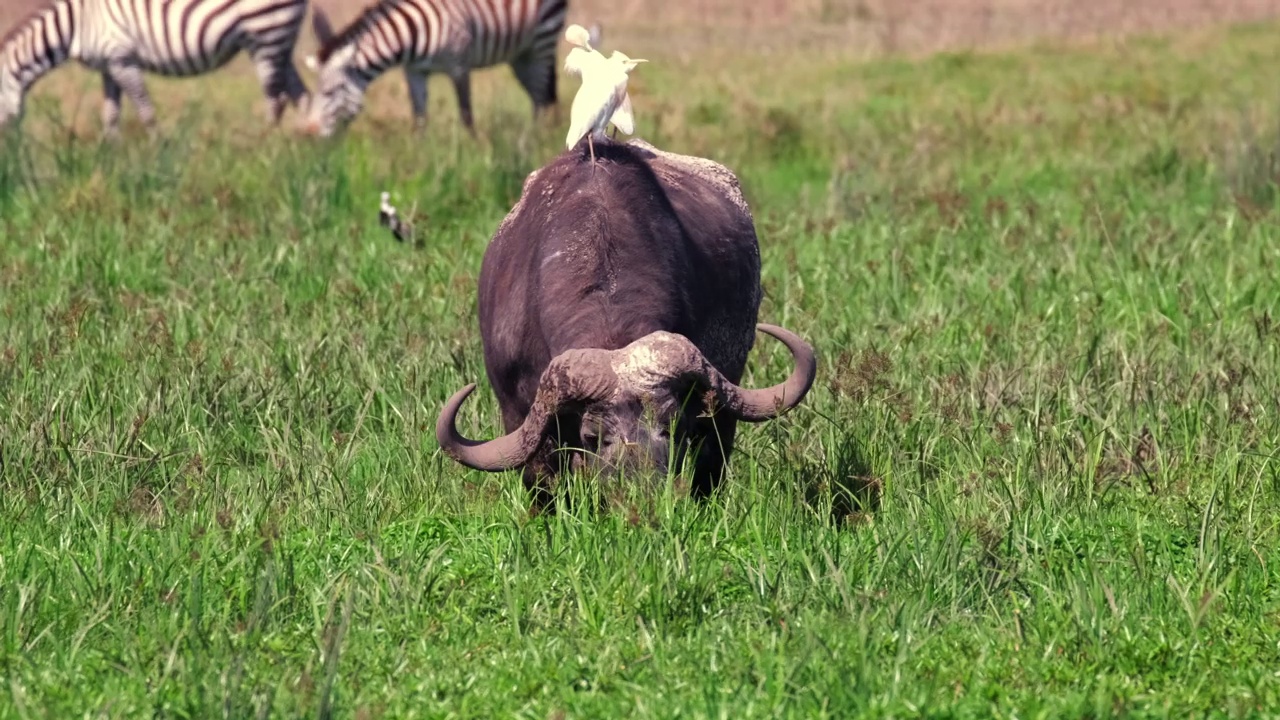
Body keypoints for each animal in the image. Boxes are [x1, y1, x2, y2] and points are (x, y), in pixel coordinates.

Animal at [0, 0, 309, 134]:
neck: (75, 25)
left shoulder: (123, 58)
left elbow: (145, 111)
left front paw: (157, 152)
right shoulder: (109, 65)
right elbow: (110, 114)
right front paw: (108, 155)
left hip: (265, 34)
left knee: (275, 100)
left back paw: (265, 147)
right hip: (277, 40)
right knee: (300, 95)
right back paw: (307, 149)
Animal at [302, 0, 568, 137]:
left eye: (329, 93)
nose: (309, 132)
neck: (410, 34)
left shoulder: (459, 65)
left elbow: (466, 114)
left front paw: (473, 150)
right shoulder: (415, 72)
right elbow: (419, 117)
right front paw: (419, 156)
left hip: (543, 40)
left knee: (543, 95)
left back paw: (535, 141)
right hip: (521, 54)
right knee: (537, 96)